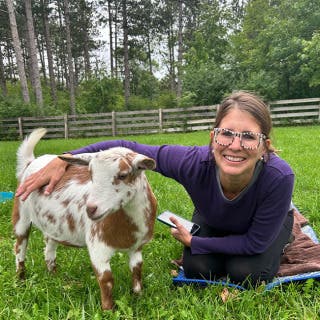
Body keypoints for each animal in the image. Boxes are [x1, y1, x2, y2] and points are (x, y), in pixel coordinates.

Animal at [12, 128, 158, 310]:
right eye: (91, 174)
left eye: (123, 175)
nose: (90, 209)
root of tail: (31, 162)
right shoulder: (98, 247)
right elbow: (106, 279)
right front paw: (108, 310)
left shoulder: (137, 247)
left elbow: (137, 271)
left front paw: (139, 297)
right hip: (21, 214)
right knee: (20, 247)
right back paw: (20, 280)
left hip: (52, 226)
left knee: (49, 249)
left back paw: (53, 276)